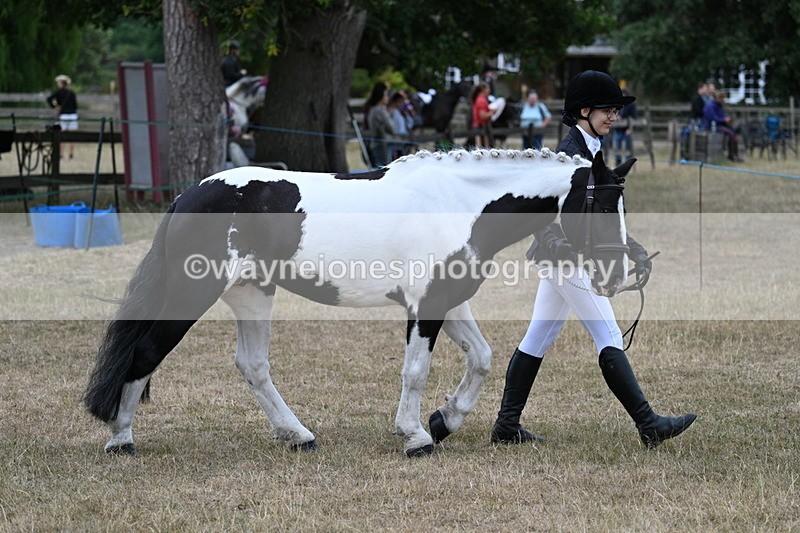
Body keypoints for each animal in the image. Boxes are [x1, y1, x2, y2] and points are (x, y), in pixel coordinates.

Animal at [83, 148, 635, 458]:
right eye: (602, 204)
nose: (617, 275)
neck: (458, 203)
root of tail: (187, 196)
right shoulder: (426, 305)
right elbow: (415, 371)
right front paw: (417, 437)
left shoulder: (449, 300)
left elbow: (481, 358)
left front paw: (445, 420)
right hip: (193, 291)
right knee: (145, 354)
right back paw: (121, 439)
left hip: (252, 292)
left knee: (252, 365)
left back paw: (298, 435)